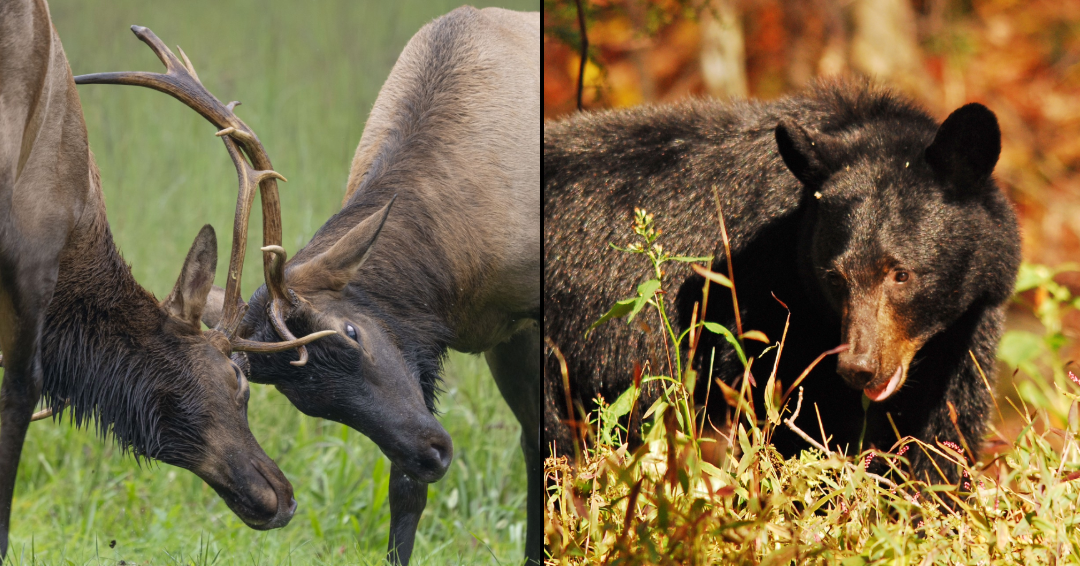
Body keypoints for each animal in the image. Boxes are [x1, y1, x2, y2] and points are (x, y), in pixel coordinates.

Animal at [544, 79, 1021, 484]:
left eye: (901, 274)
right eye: (835, 277)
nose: (859, 367)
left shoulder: (964, 329)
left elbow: (942, 430)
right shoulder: (764, 312)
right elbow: (786, 418)